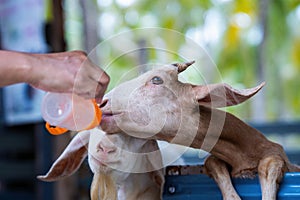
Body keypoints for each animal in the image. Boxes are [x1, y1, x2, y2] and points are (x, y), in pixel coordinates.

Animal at [100, 61, 300, 199]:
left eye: (156, 80)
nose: (103, 103)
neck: (245, 153)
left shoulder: (277, 156)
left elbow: (269, 164)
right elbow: (212, 163)